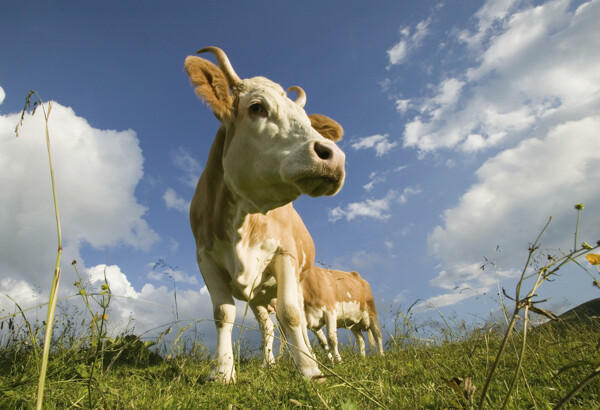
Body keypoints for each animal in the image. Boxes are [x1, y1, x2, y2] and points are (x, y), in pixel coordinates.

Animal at [188, 46, 346, 382]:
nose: (334, 156)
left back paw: (308, 356)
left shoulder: (284, 253)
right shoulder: (204, 258)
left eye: (308, 121)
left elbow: (291, 314)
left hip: (296, 279)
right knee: (267, 326)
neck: (241, 221)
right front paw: (222, 371)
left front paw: (310, 370)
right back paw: (268, 363)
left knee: (297, 318)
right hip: (258, 296)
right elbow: (223, 313)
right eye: (257, 107)